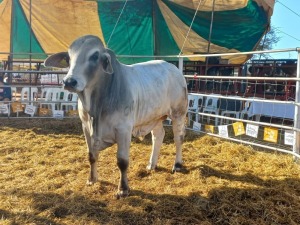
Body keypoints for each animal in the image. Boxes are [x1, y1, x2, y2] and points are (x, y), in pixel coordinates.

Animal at [44, 34, 188, 198]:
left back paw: (177, 165)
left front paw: (123, 189)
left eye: (95, 56)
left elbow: (122, 161)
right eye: (68, 58)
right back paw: (152, 164)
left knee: (178, 138)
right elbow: (91, 155)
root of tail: (174, 69)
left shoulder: (123, 130)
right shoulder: (86, 127)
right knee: (158, 136)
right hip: (154, 116)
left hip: (178, 113)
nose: (69, 81)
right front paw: (91, 179)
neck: (96, 105)